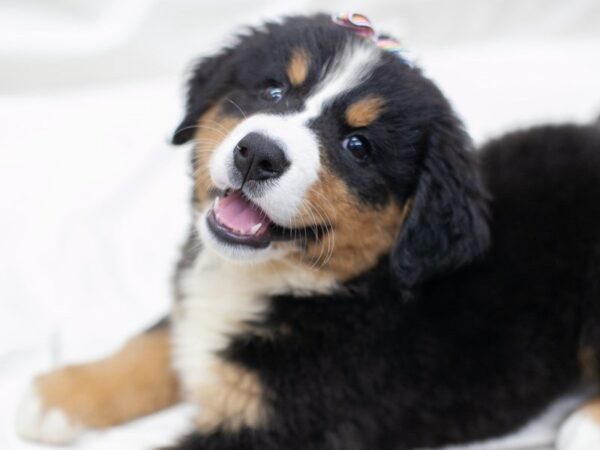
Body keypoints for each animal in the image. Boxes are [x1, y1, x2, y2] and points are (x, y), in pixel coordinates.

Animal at [12, 13, 600, 450]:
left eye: (358, 145)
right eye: (273, 90)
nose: (258, 154)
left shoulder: (289, 422)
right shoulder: (194, 300)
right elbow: (155, 339)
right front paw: (63, 394)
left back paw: (583, 424)